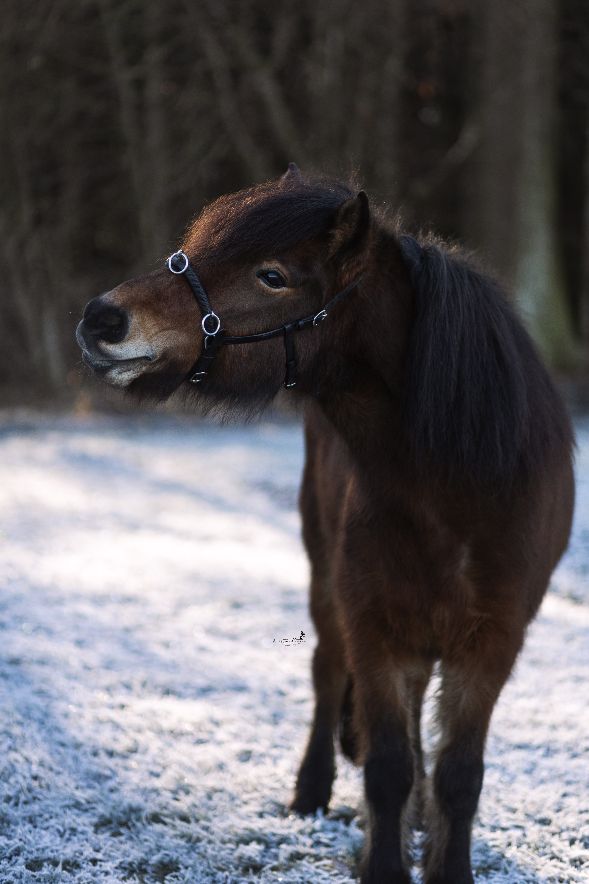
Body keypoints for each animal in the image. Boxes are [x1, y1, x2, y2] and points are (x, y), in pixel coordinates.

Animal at [76, 167, 572, 884]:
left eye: (272, 276)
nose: (103, 319)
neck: (457, 488)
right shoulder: (371, 625)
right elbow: (386, 766)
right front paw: (383, 863)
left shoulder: (492, 642)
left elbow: (458, 773)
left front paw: (444, 862)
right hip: (328, 588)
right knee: (326, 675)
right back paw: (312, 792)